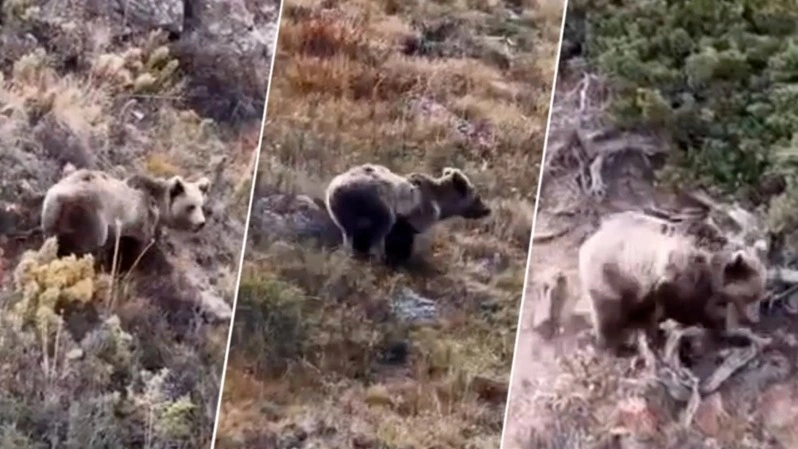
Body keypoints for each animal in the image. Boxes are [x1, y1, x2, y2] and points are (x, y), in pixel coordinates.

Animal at [41, 167, 211, 259]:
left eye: (201, 205)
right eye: (191, 206)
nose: (201, 223)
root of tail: (62, 196)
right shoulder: (139, 222)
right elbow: (135, 248)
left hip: (50, 213)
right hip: (90, 216)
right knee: (84, 244)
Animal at [324, 164, 491, 265]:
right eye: (477, 197)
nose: (487, 210)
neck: (440, 203)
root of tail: (340, 187)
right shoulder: (417, 215)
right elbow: (404, 238)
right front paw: (400, 258)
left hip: (339, 209)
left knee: (348, 232)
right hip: (377, 201)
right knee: (381, 229)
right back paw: (379, 257)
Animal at [578, 210, 767, 356]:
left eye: (759, 293)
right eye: (751, 296)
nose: (755, 319)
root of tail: (587, 243)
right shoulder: (680, 276)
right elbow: (682, 307)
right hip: (610, 273)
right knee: (607, 310)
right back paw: (610, 342)